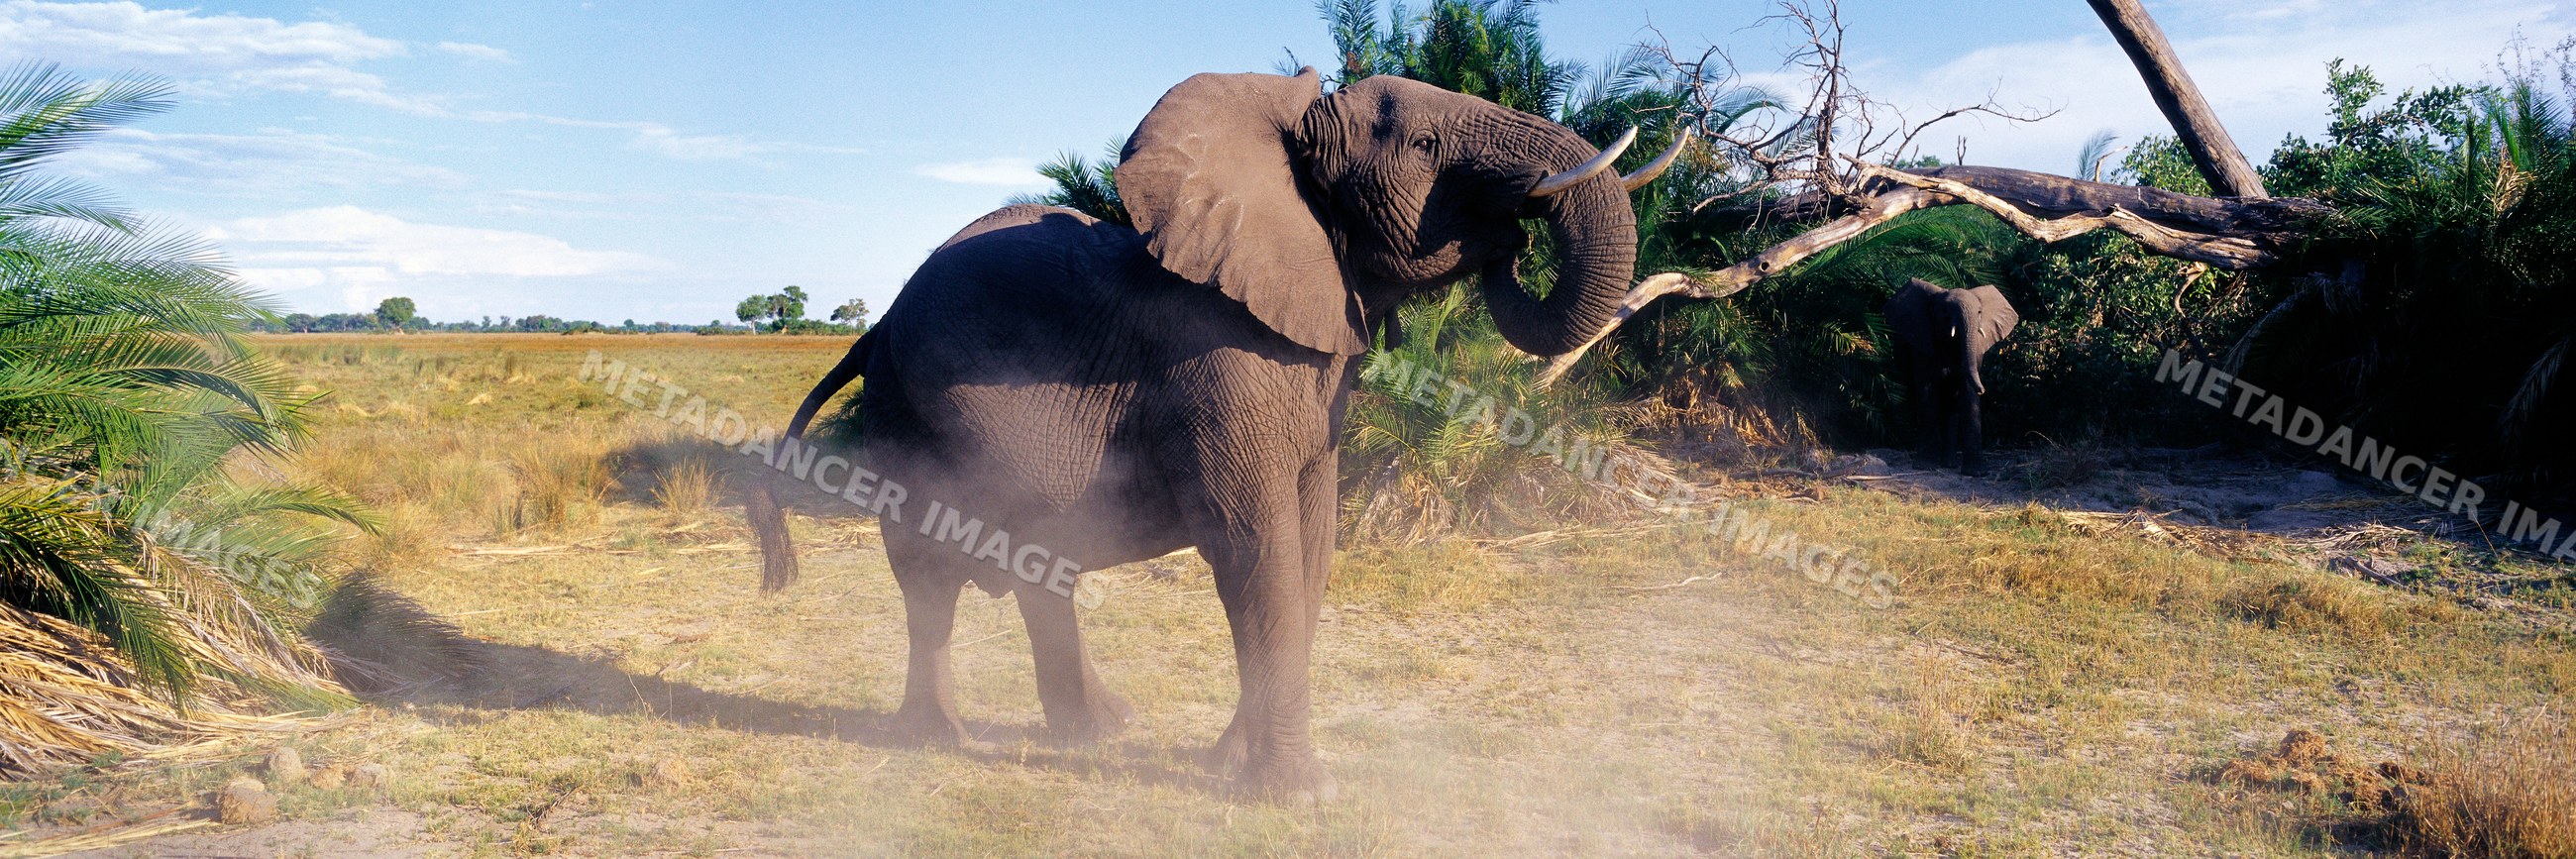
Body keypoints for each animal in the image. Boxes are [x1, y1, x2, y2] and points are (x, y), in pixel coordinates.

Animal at [744, 68, 1683, 800]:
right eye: (1422, 148)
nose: (1514, 235)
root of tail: (872, 330)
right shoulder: (1216, 363)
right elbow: (1253, 540)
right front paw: (1301, 795)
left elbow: (1312, 543)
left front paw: (1229, 764)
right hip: (906, 413)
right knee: (930, 580)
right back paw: (942, 740)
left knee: (1039, 566)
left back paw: (1101, 732)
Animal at [1883, 278, 2019, 476]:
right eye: (1944, 311)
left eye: (1979, 312)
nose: (1983, 389)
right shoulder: (1921, 345)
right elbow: (1926, 393)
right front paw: (1926, 466)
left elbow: (1968, 396)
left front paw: (1976, 472)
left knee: (1951, 408)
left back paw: (1949, 463)